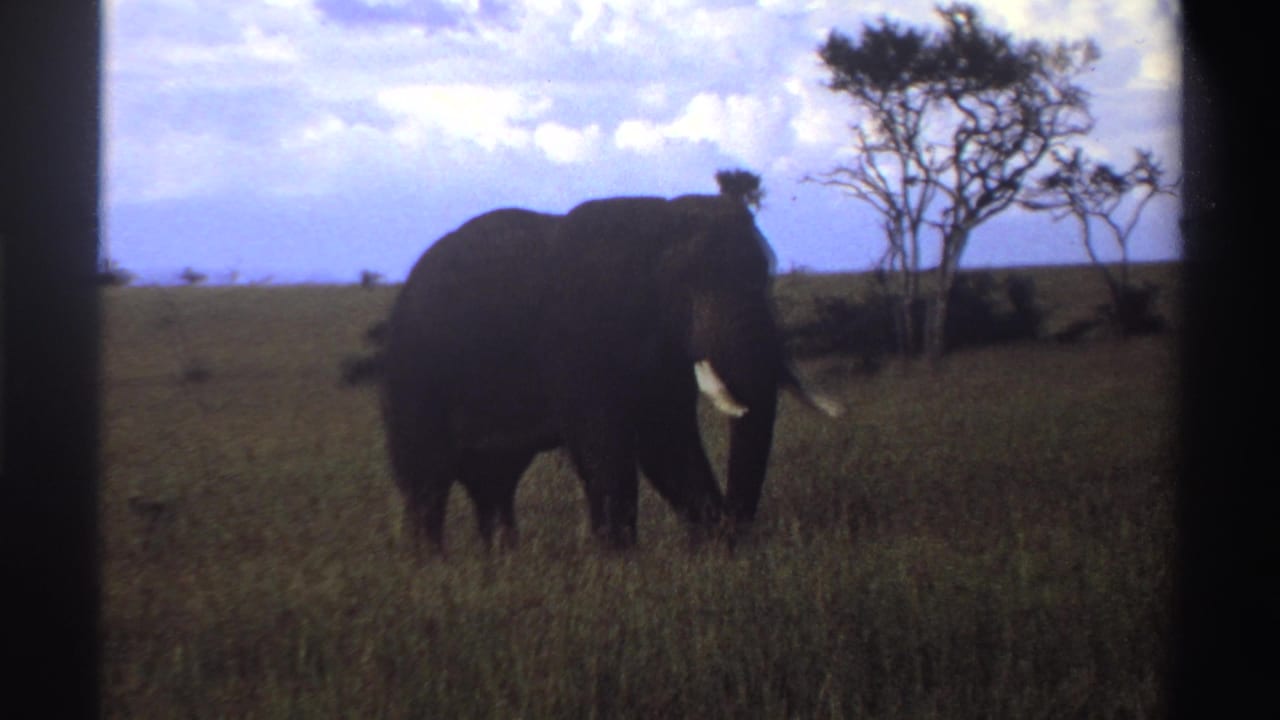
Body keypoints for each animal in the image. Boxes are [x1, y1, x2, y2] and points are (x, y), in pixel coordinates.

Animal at [381, 194, 838, 554]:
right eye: (691, 285)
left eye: (763, 276)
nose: (735, 531)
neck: (658, 225)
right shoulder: (579, 338)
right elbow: (604, 444)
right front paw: (620, 563)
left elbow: (666, 444)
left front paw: (712, 549)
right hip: (413, 375)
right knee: (427, 480)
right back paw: (432, 568)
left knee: (493, 484)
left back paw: (500, 562)